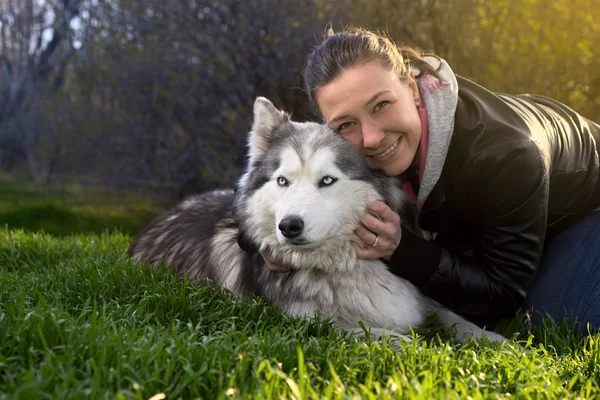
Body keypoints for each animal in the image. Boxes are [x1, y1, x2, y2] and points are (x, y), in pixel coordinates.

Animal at [126, 97, 506, 344]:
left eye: (327, 180)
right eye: (283, 181)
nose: (289, 226)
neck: (344, 268)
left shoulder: (422, 300)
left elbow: (454, 318)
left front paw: (500, 343)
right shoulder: (296, 321)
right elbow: (389, 337)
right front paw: (423, 348)